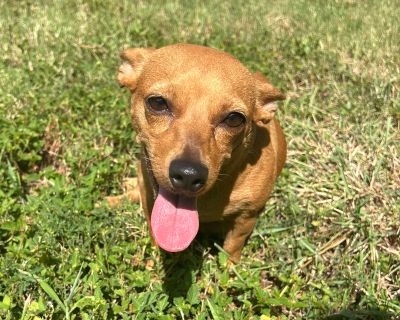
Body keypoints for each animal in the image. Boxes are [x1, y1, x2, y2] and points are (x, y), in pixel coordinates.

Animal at [108, 43, 286, 262]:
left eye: (234, 119)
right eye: (158, 103)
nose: (188, 175)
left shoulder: (247, 218)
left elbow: (232, 248)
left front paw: (231, 268)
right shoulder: (150, 199)